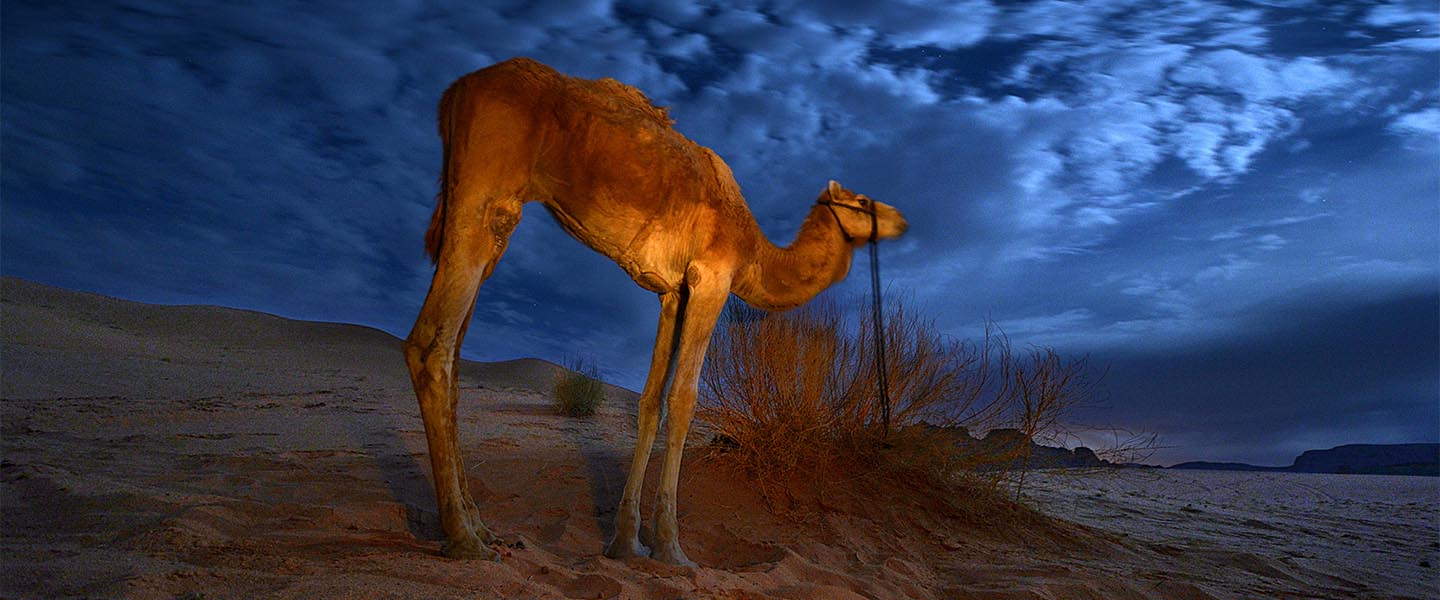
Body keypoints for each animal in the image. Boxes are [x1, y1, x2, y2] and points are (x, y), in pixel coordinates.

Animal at [402, 57, 908, 566]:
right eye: (863, 201)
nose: (902, 219)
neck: (755, 253)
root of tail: (458, 90)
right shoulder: (712, 277)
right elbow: (684, 400)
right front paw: (671, 547)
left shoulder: (674, 295)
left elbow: (650, 402)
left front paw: (627, 542)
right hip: (487, 193)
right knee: (431, 344)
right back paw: (463, 537)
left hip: (480, 212)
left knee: (454, 353)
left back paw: (483, 528)